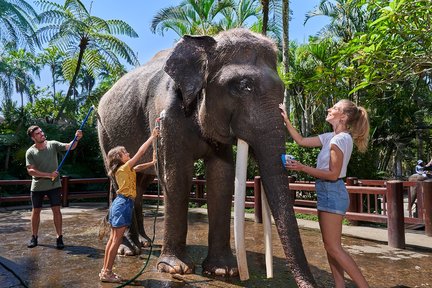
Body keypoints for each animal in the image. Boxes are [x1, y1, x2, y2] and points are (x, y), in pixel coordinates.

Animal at [99, 28, 318, 286]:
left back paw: (144, 242)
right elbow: (176, 177)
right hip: (105, 133)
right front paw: (175, 269)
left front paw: (223, 271)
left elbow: (221, 178)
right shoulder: (167, 115)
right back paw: (128, 250)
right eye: (243, 86)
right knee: (119, 179)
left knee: (140, 183)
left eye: (283, 89)